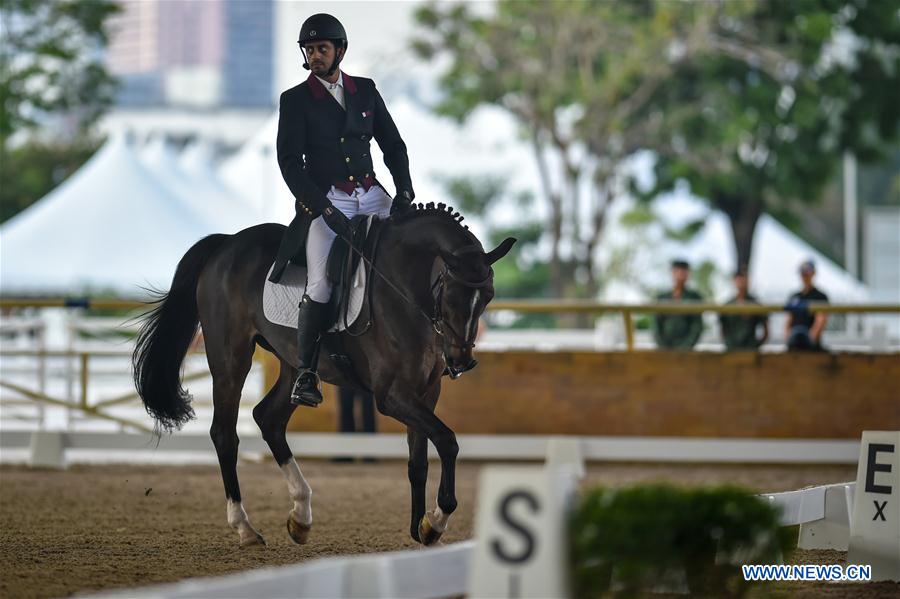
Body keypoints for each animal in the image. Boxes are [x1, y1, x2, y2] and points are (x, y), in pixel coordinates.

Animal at [132, 205, 512, 548]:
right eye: (449, 293)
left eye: (488, 296)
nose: (461, 361)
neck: (404, 286)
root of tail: (227, 243)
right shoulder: (391, 396)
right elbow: (447, 441)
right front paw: (437, 519)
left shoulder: (425, 392)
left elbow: (418, 460)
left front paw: (420, 527)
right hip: (230, 359)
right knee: (225, 434)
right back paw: (245, 528)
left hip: (292, 362)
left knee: (268, 418)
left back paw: (301, 515)